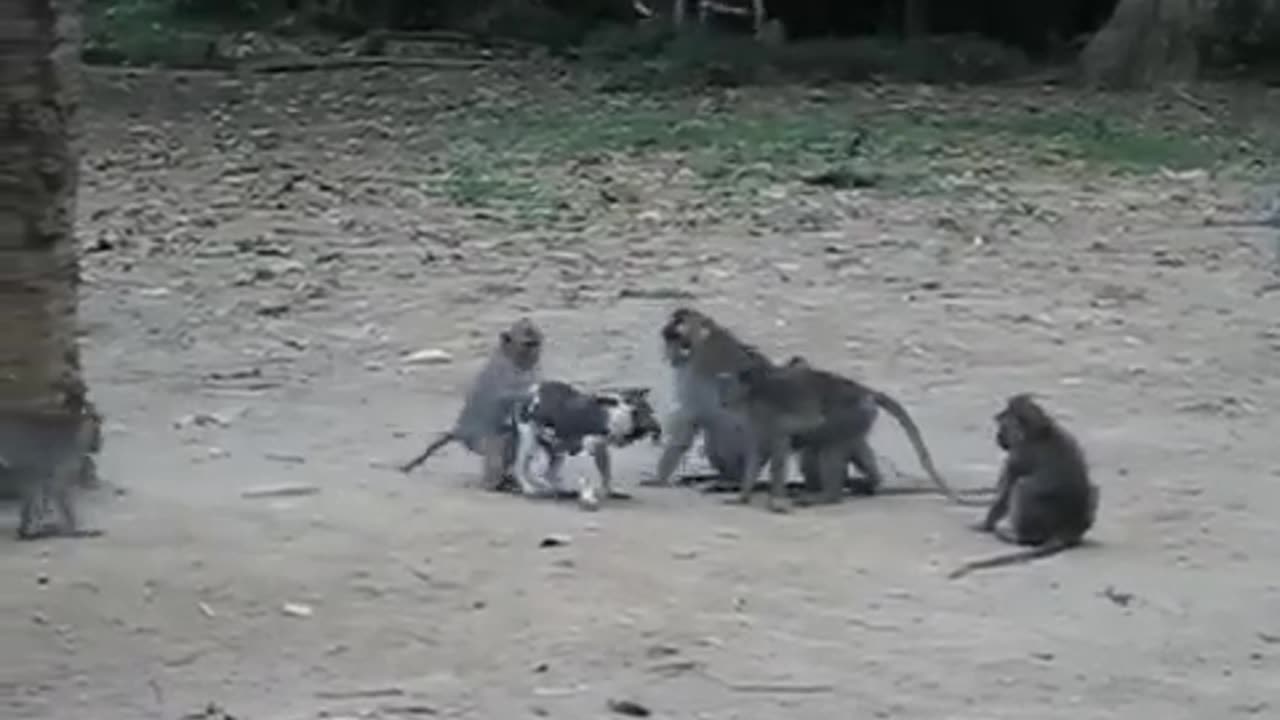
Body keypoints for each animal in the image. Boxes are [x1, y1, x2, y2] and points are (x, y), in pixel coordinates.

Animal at [396, 316, 542, 489]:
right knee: (502, 439)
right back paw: (493, 484)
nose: (536, 354)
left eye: (536, 343)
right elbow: (504, 397)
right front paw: (531, 395)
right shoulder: (506, 372)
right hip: (478, 441)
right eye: (528, 344)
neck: (511, 357)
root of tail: (461, 430)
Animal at [506, 381, 665, 509]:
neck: (613, 416)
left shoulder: (601, 449)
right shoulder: (584, 450)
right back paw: (531, 489)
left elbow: (607, 474)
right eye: (637, 412)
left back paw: (560, 491)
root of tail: (528, 391)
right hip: (530, 441)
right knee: (521, 468)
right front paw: (588, 499)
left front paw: (611, 492)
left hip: (556, 449)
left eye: (651, 411)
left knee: (548, 474)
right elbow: (588, 478)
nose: (659, 428)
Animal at [952, 392, 1100, 576]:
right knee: (1094, 488)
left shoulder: (1019, 454)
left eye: (1003, 425)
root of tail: (1066, 530)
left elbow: (1005, 493)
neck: (1038, 432)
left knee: (1021, 487)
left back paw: (1017, 537)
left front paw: (985, 525)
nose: (998, 438)